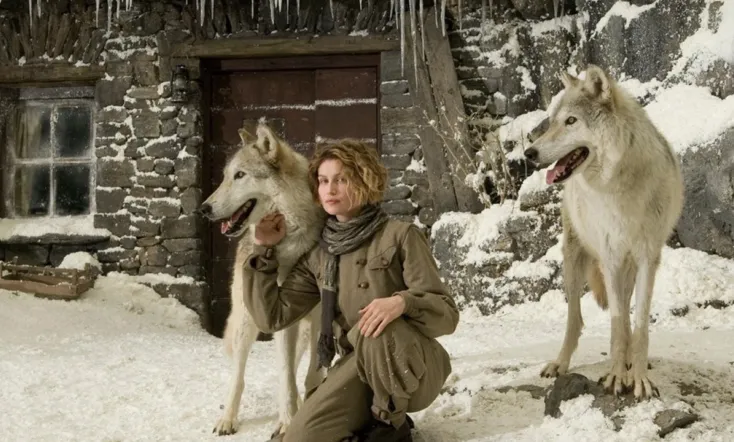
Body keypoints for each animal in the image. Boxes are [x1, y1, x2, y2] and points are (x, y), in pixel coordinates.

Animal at [198, 122, 326, 436]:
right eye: (225, 176)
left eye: (240, 175)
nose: (204, 209)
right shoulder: (285, 319)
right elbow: (286, 374)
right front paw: (288, 422)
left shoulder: (321, 316)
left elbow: (312, 371)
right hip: (247, 322)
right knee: (239, 374)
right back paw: (228, 419)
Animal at [524, 65, 684, 399]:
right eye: (553, 122)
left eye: (571, 121)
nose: (529, 153)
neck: (618, 187)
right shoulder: (611, 259)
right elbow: (617, 324)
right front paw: (616, 376)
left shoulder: (648, 258)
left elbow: (639, 324)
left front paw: (638, 377)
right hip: (574, 265)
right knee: (575, 320)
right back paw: (560, 364)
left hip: (628, 269)